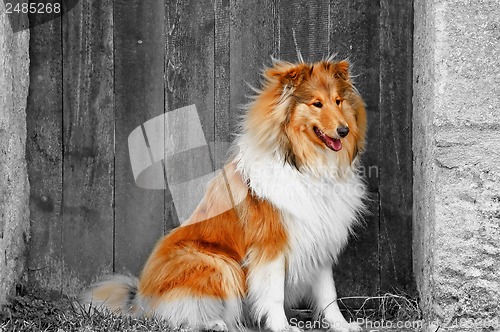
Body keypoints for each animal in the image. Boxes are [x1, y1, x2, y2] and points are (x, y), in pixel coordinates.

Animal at [83, 57, 368, 332]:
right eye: (316, 103)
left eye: (338, 101)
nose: (343, 130)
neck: (307, 166)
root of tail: (140, 300)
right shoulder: (271, 247)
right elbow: (274, 293)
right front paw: (282, 327)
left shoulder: (321, 239)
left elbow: (328, 294)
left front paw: (342, 325)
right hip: (217, 261)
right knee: (179, 314)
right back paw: (214, 324)